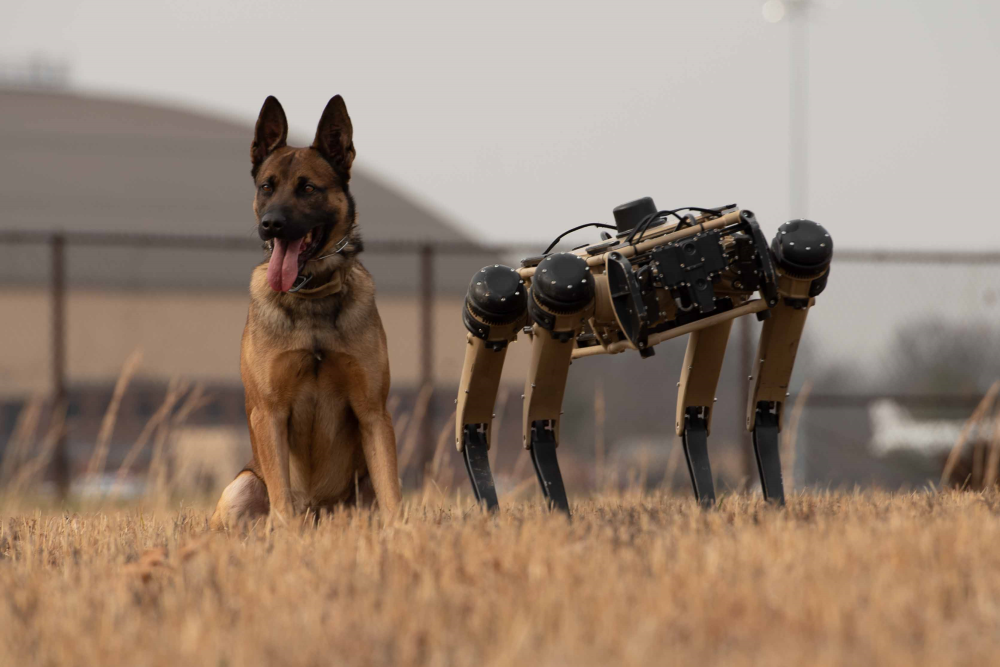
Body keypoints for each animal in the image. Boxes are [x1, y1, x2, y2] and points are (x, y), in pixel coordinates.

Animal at [211, 96, 402, 528]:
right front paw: (288, 537)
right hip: (242, 486)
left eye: (308, 188)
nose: (271, 225)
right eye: (267, 187)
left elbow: (392, 494)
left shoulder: (373, 413)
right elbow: (282, 499)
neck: (311, 295)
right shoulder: (269, 413)